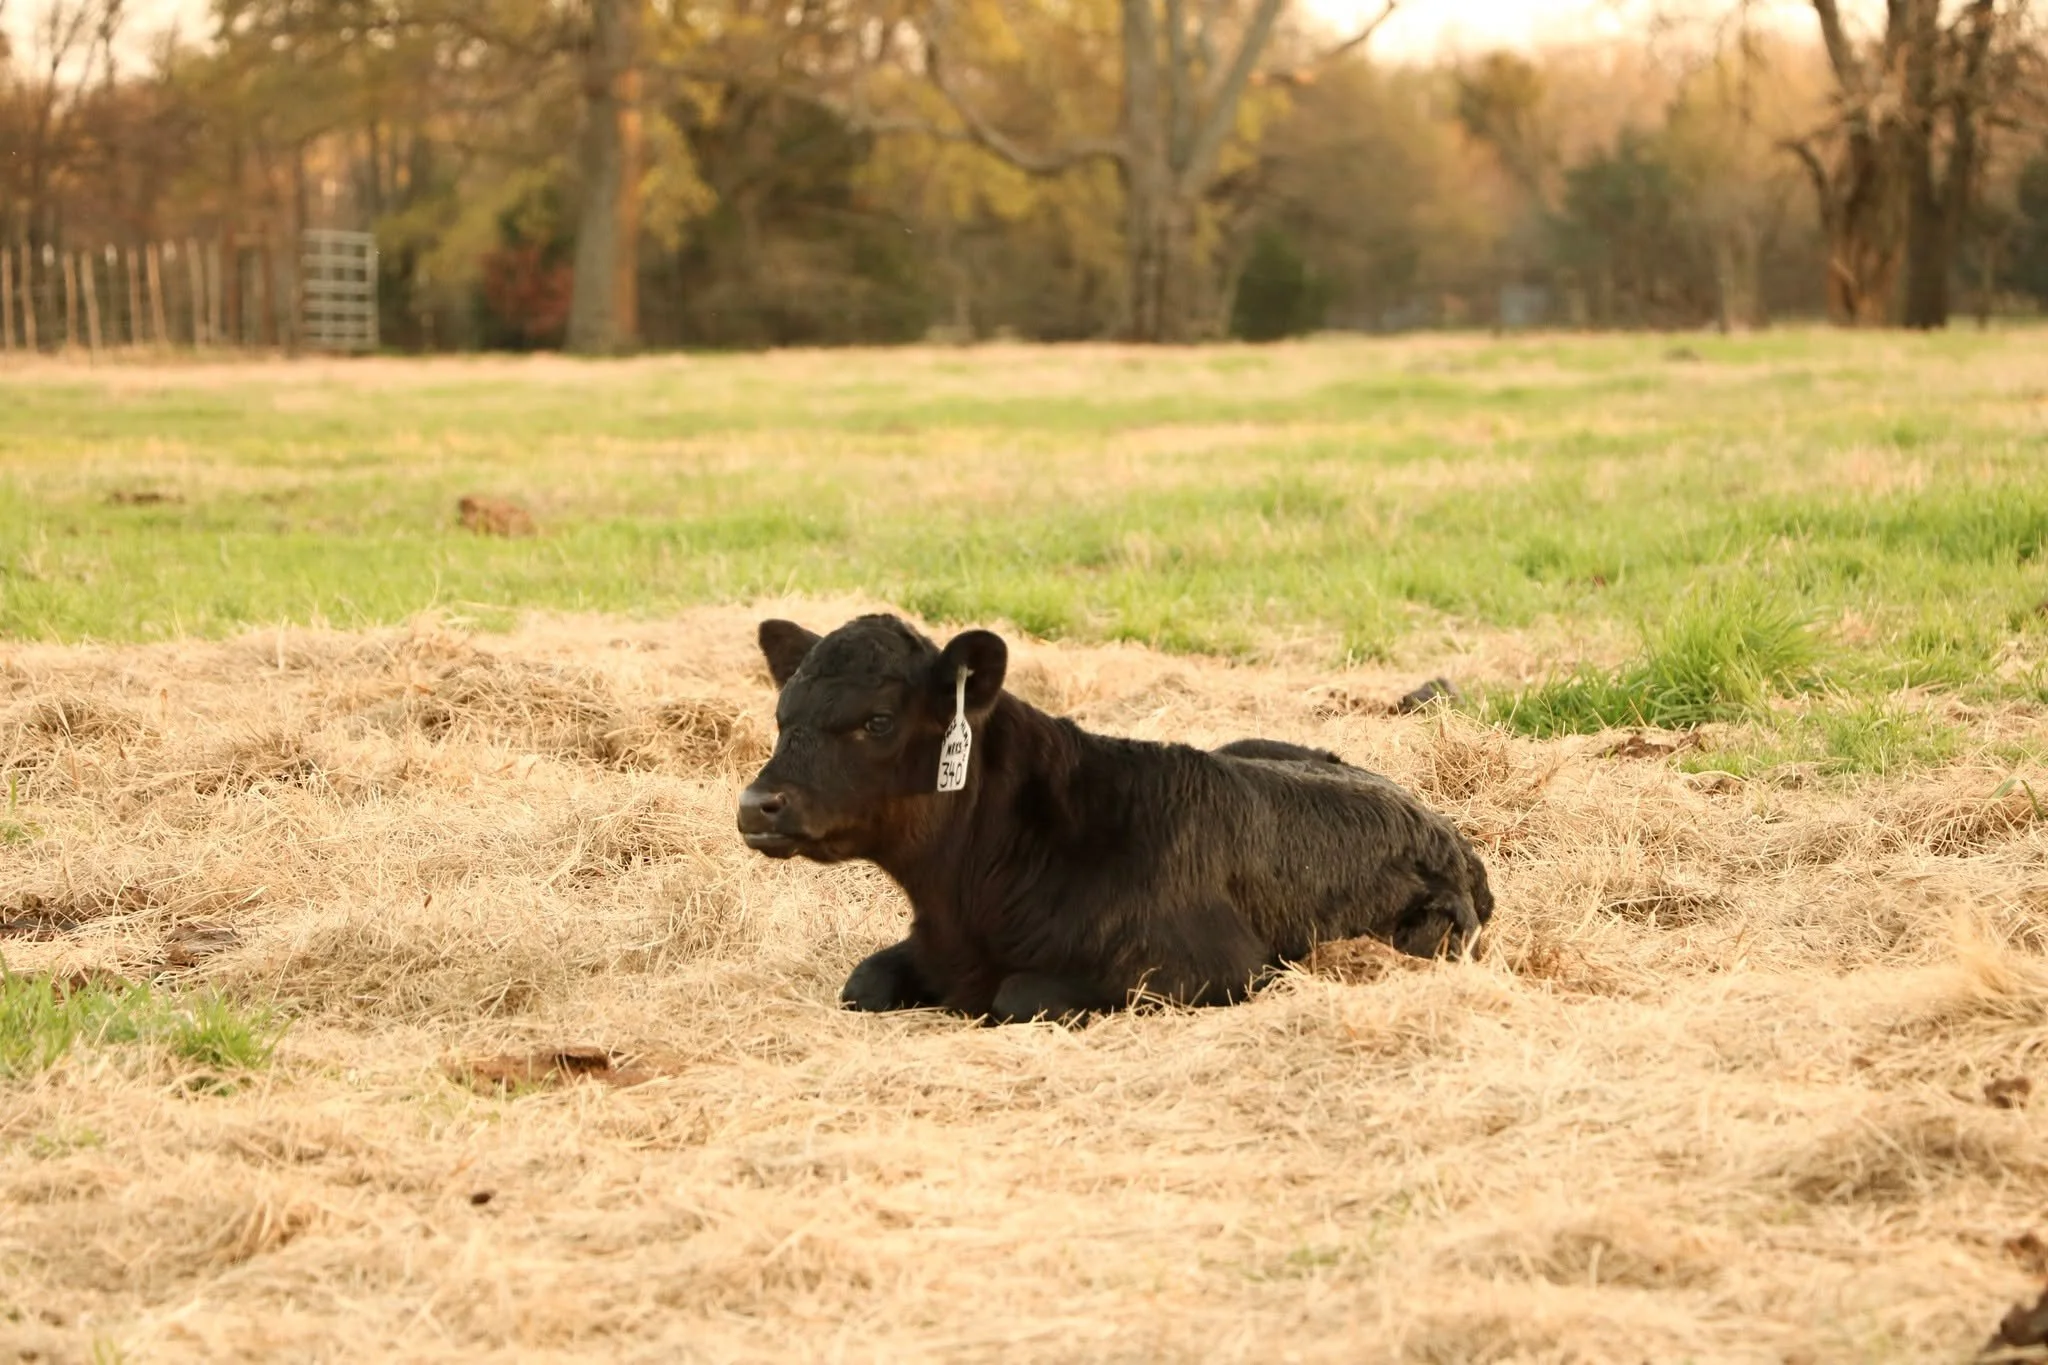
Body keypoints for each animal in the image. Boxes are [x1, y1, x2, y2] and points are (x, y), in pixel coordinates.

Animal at [736, 614, 1493, 1024]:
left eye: (878, 720)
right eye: (782, 716)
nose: (756, 805)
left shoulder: (1210, 971)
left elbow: (1020, 994)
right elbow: (863, 981)